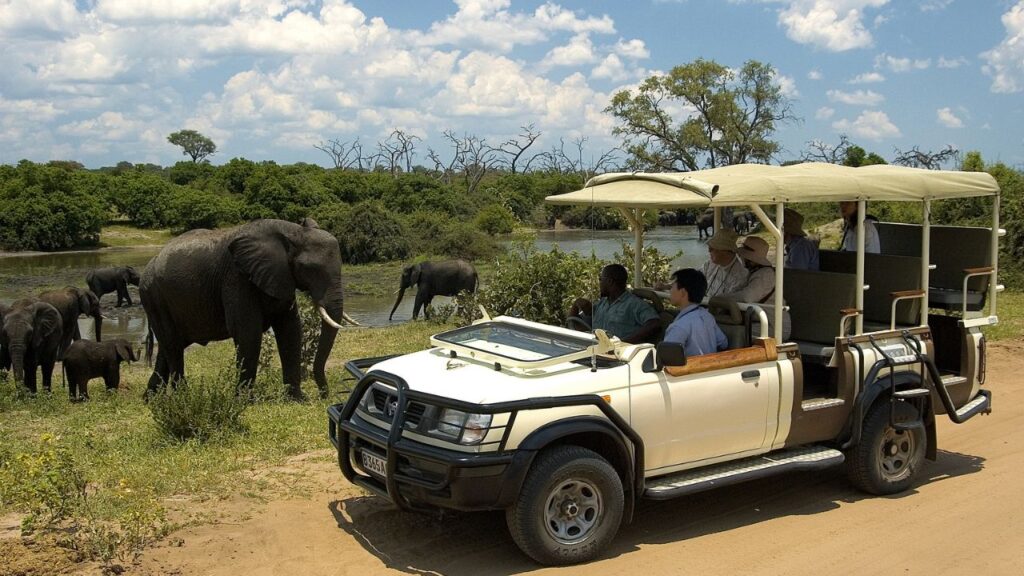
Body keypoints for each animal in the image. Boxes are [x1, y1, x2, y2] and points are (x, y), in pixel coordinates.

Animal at [140, 218, 359, 400]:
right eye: (309, 268)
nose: (324, 395)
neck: (292, 231)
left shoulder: (281, 277)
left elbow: (290, 330)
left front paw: (297, 399)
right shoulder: (237, 277)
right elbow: (248, 332)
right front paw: (245, 401)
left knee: (168, 348)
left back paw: (151, 399)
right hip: (154, 298)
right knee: (173, 346)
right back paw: (182, 399)